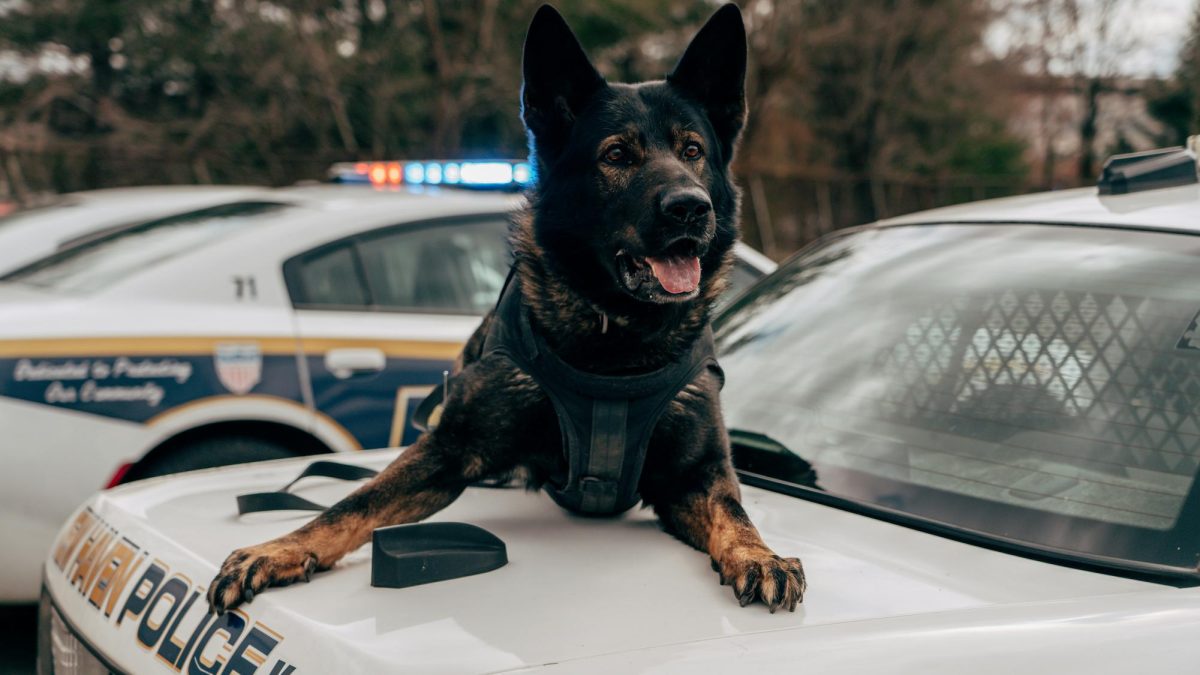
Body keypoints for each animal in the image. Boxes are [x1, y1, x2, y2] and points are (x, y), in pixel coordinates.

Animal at [208, 1, 806, 610]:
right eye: (617, 154)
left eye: (692, 151)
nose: (691, 207)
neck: (615, 346)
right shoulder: (448, 450)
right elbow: (352, 503)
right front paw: (279, 549)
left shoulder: (698, 474)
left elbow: (734, 512)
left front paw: (759, 554)